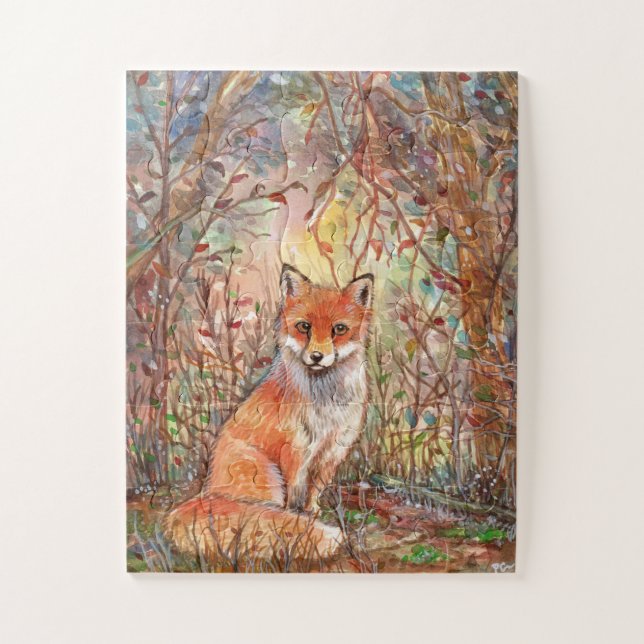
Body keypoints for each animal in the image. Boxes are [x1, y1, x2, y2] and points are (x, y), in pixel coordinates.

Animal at [165, 263, 374, 563]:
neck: (326, 404)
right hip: (264, 475)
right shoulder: (294, 451)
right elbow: (293, 498)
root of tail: (204, 495)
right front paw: (297, 522)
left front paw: (312, 513)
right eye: (304, 327)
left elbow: (315, 490)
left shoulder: (334, 449)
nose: (317, 357)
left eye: (339, 329)